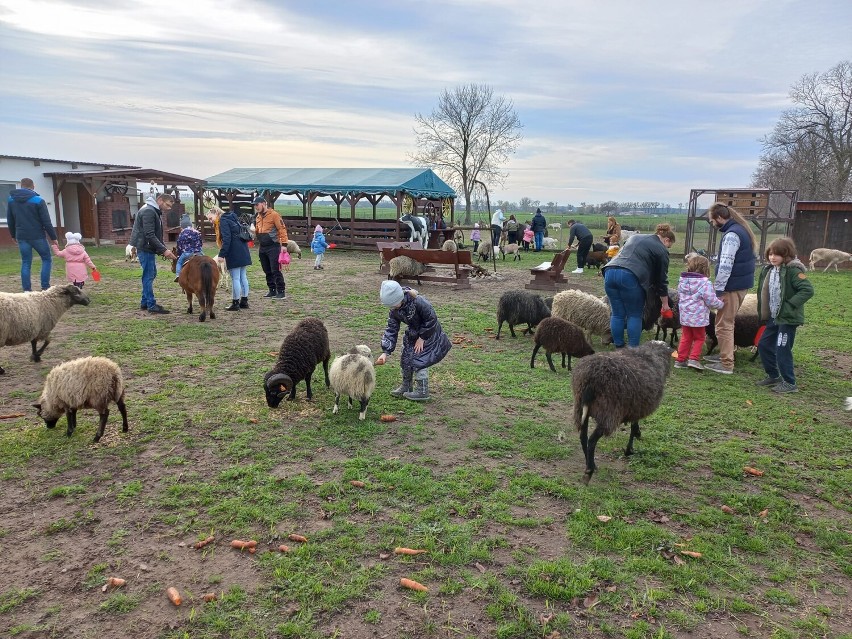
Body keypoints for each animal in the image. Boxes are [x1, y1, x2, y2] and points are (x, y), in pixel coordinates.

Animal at [572, 342, 672, 482]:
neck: (654, 354)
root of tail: (590, 379)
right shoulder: (635, 407)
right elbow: (633, 427)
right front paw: (630, 449)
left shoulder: (634, 406)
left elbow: (634, 426)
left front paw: (635, 438)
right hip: (609, 412)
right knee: (591, 440)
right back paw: (589, 471)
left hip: (581, 409)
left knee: (583, 437)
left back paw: (591, 464)